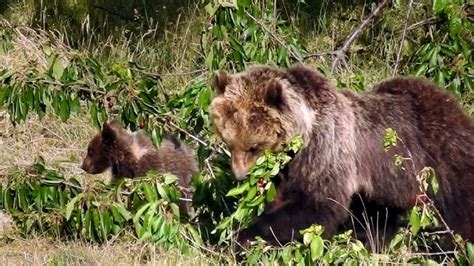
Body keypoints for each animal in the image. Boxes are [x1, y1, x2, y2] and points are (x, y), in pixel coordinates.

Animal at [209, 64, 474, 247]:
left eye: (253, 146)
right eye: (230, 143)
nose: (241, 176)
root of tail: (453, 104)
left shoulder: (326, 152)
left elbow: (318, 206)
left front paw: (241, 238)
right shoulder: (287, 170)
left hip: (444, 157)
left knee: (462, 210)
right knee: (379, 219)